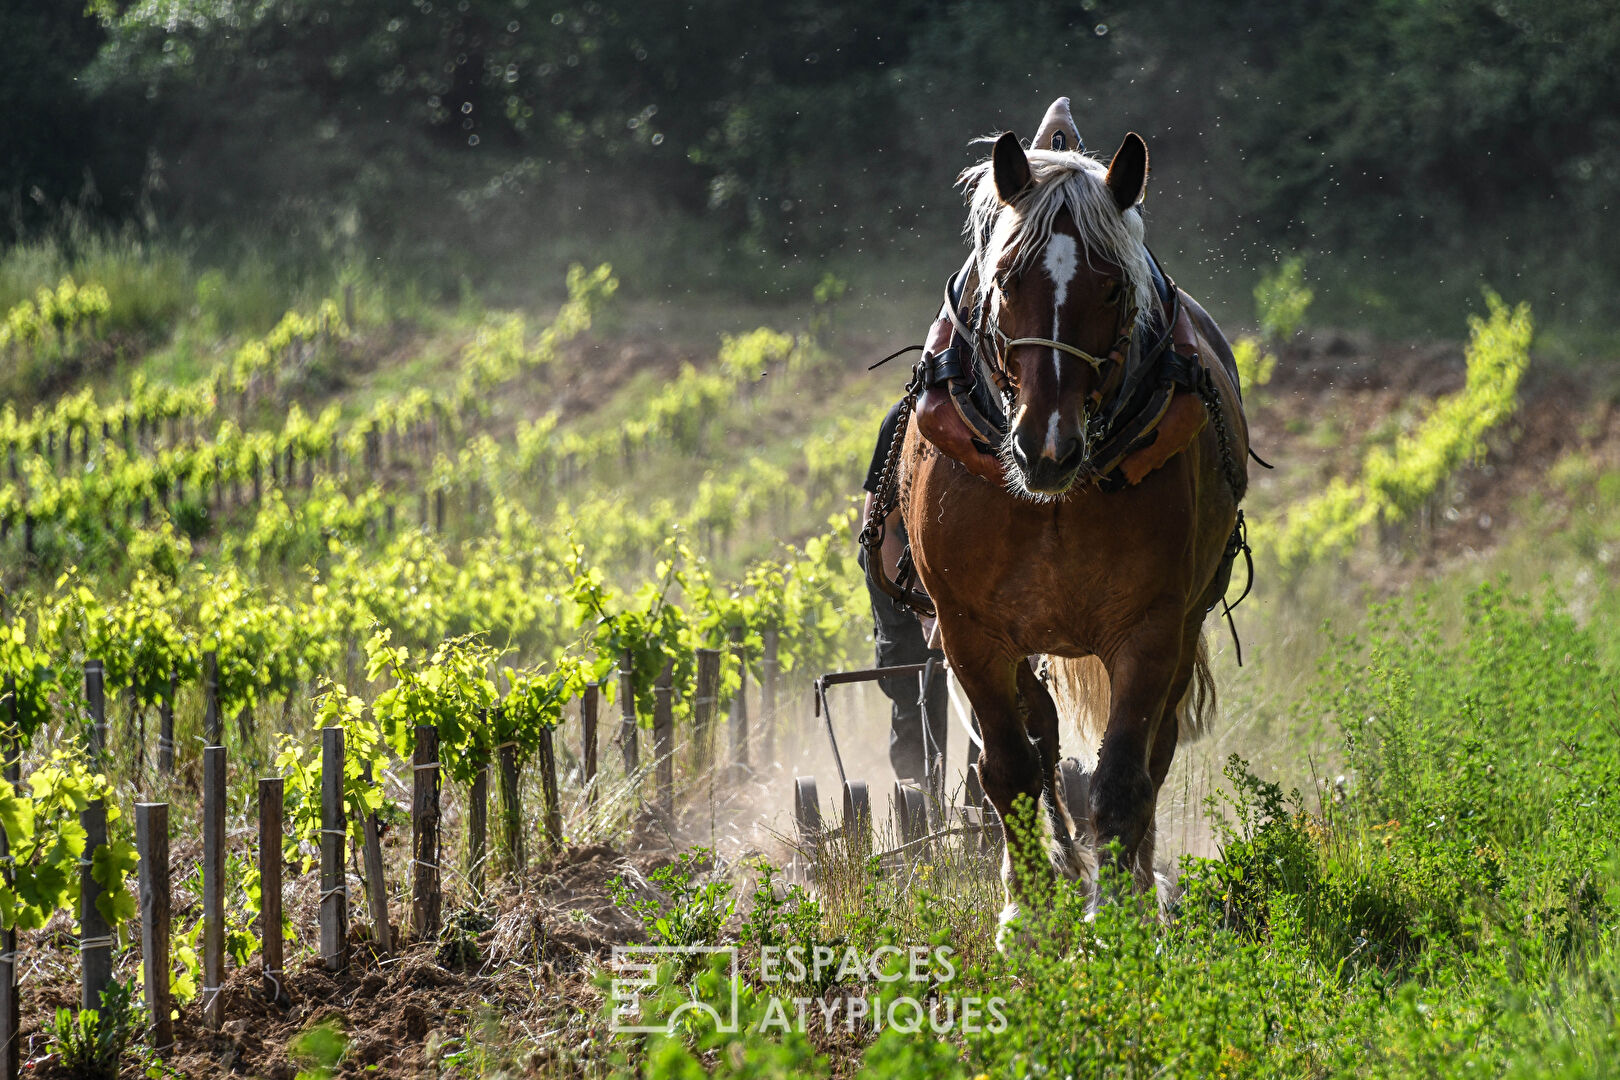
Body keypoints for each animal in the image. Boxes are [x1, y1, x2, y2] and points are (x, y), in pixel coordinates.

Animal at [894, 107, 1244, 939]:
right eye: (1006, 280)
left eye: (1111, 288)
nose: (1044, 447)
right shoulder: (969, 632)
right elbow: (1008, 767)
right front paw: (1027, 906)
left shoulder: (1151, 628)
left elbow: (1122, 773)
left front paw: (1117, 911)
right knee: (1041, 739)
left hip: (1182, 625)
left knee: (1153, 752)